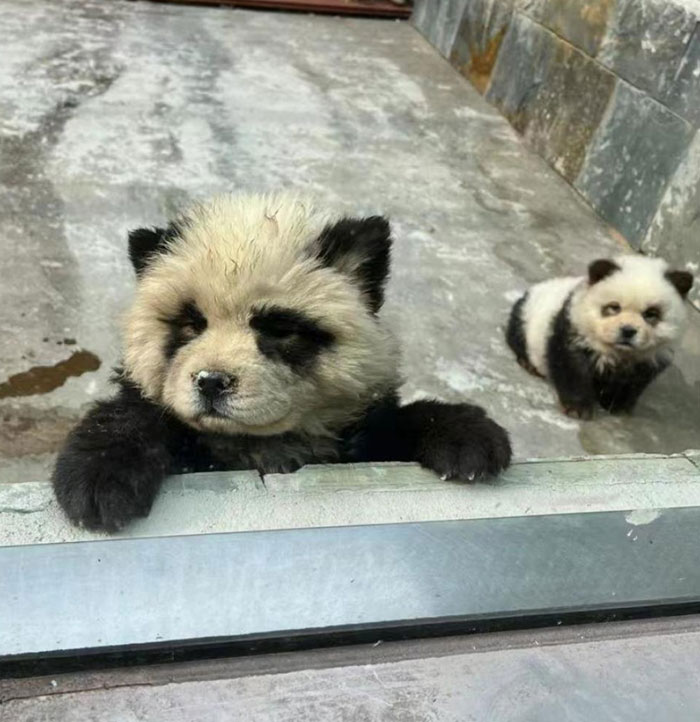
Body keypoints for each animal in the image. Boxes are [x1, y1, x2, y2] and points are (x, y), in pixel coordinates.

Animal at [53, 191, 508, 528]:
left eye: (279, 329)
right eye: (190, 324)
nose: (211, 381)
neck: (256, 442)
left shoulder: (355, 435)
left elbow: (396, 425)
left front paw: (469, 439)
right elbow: (132, 413)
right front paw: (97, 480)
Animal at [508, 256, 696, 416]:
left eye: (651, 313)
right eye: (614, 307)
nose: (628, 331)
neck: (619, 352)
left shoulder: (651, 356)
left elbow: (634, 381)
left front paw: (617, 406)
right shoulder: (574, 328)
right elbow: (572, 366)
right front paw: (577, 408)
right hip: (527, 315)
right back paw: (528, 363)